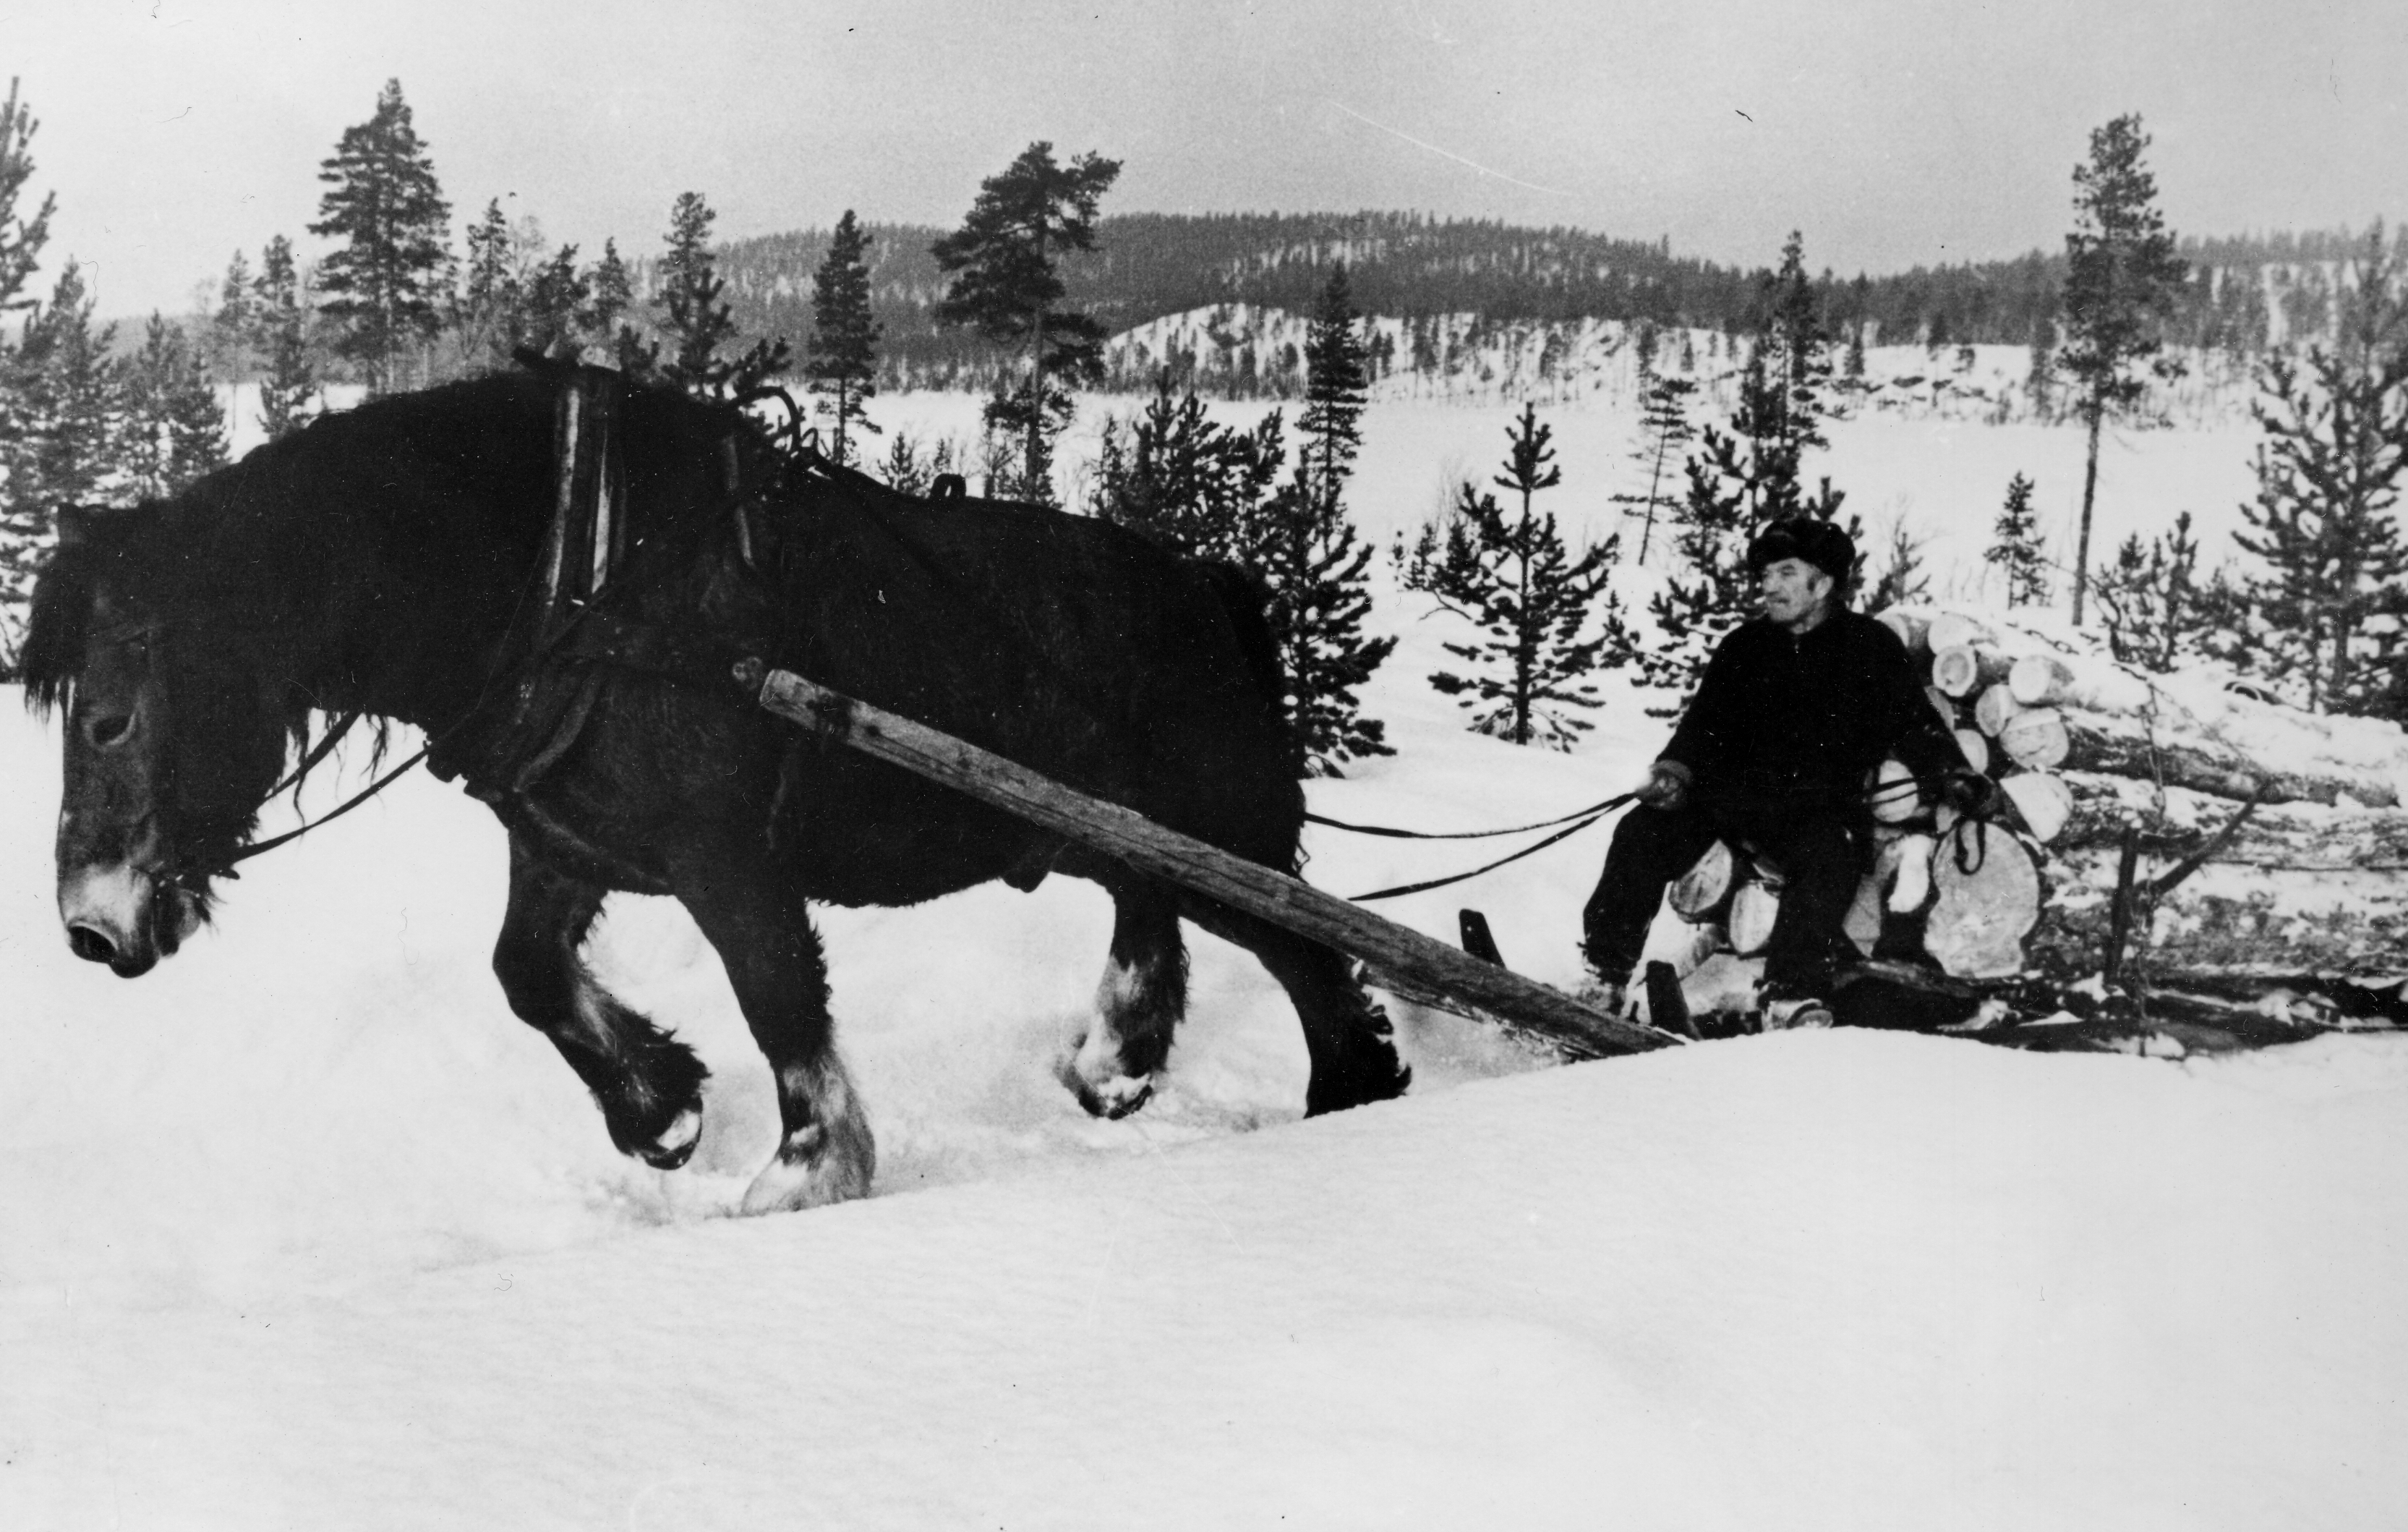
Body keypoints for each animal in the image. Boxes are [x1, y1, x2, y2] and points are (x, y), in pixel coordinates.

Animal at [23, 368, 1406, 1209]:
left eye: (109, 715)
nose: (88, 925)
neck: (577, 582)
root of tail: (1213, 587)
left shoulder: (727, 858)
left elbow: (779, 995)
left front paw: (807, 1169)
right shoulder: (563, 843)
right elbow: (526, 975)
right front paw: (661, 1108)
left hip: (1218, 830)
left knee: (1303, 955)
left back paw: (1349, 1102)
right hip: (1111, 834)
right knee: (1154, 916)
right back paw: (1116, 1061)